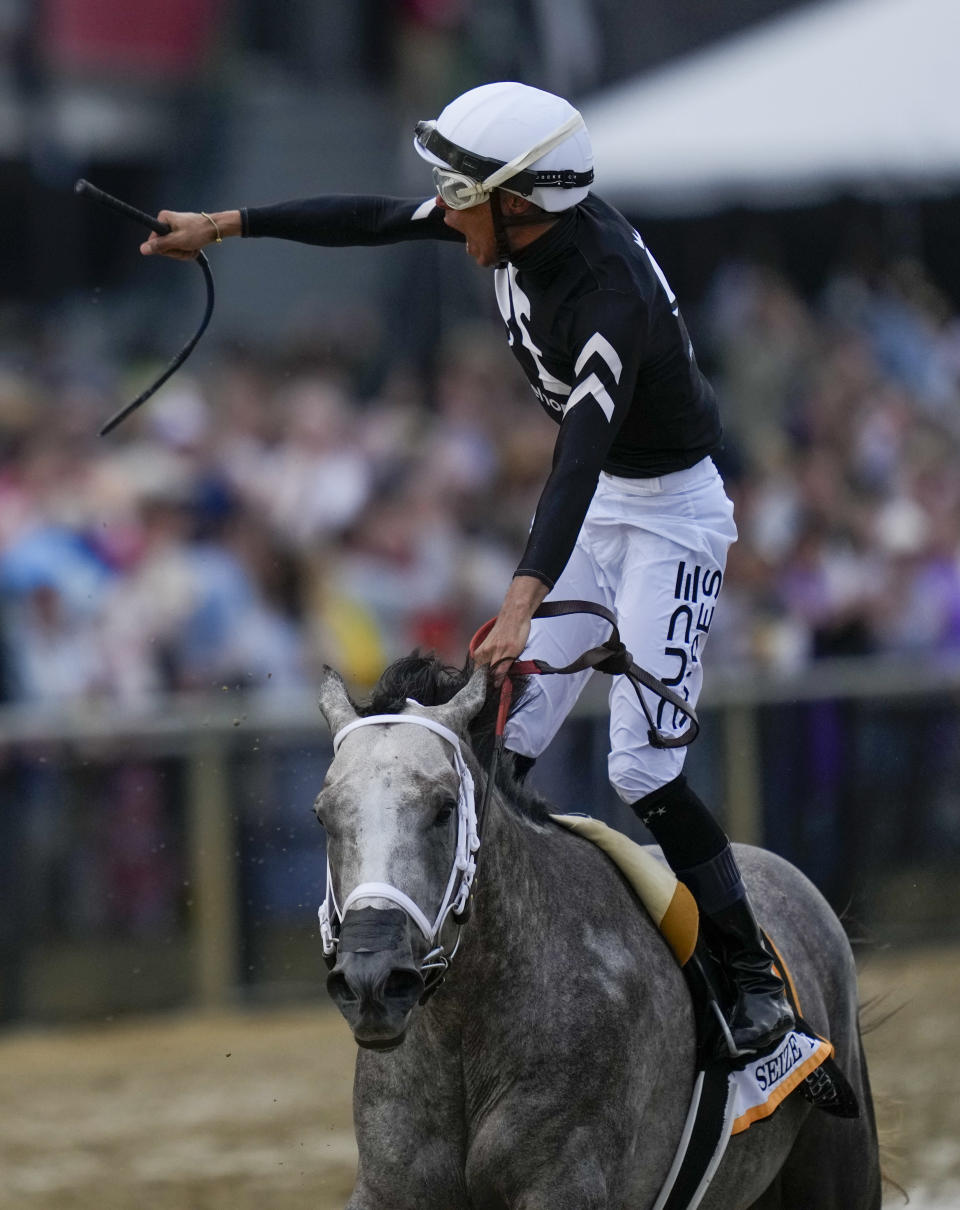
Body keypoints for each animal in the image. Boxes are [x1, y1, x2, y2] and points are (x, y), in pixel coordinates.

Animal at [317, 658, 886, 1205]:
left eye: (444, 809)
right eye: (323, 816)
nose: (372, 981)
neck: (466, 1033)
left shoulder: (565, 1181)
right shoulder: (388, 1188)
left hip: (838, 1166)